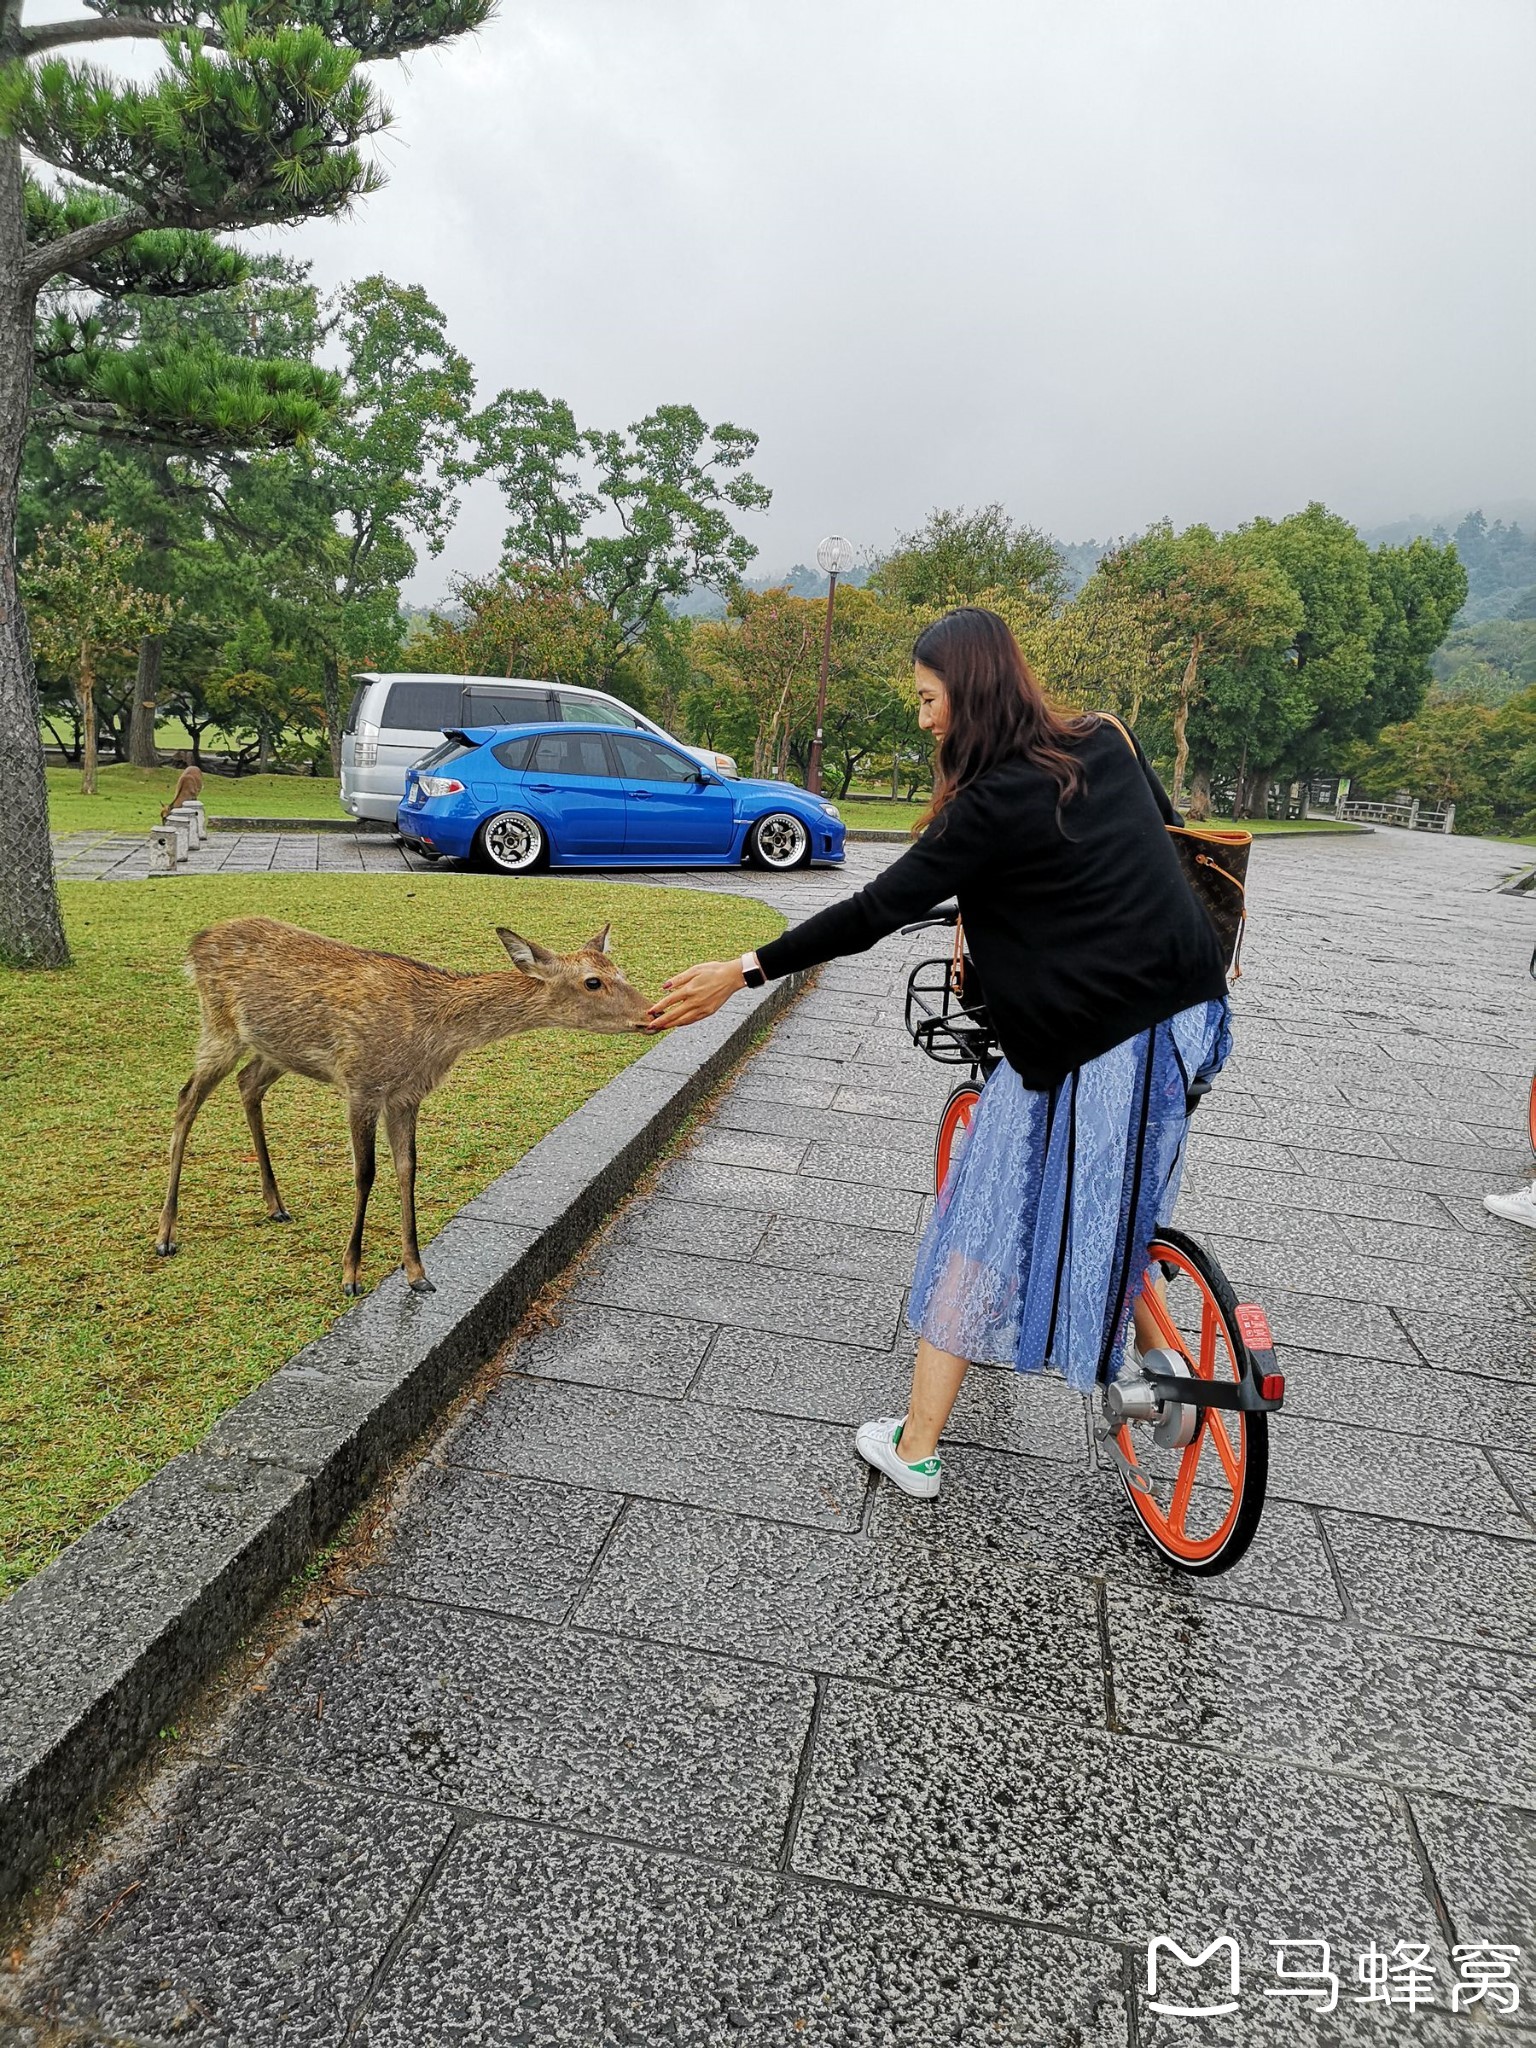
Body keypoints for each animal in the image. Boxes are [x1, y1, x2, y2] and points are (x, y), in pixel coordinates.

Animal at [148, 917, 643, 1286]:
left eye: (621, 971)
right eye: (593, 982)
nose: (649, 1012)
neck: (431, 1034)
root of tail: (194, 945)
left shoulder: (406, 1096)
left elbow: (408, 1169)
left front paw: (417, 1272)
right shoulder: (361, 1084)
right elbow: (365, 1172)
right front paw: (350, 1273)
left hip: (274, 1049)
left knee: (248, 1084)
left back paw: (276, 1205)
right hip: (219, 1027)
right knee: (186, 1098)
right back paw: (166, 1233)